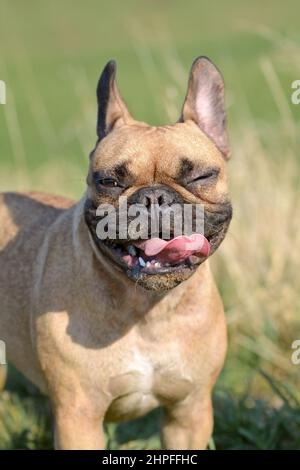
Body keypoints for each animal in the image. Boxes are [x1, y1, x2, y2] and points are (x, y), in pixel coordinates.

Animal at [0, 57, 232, 450]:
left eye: (201, 177)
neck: (148, 309)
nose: (154, 197)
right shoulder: (79, 418)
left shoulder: (189, 412)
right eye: (109, 181)